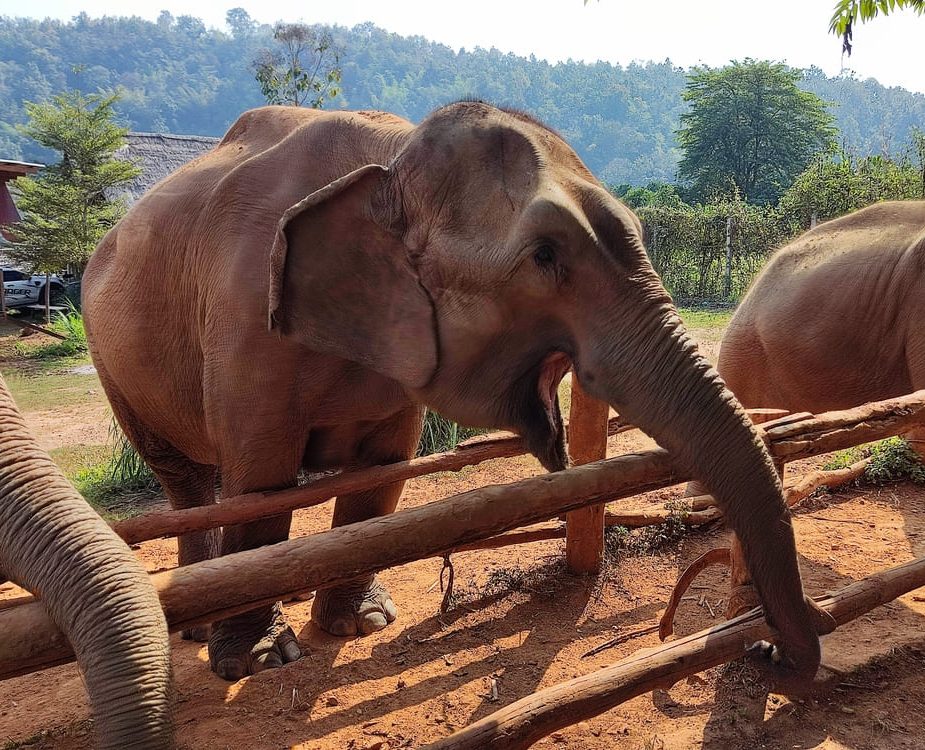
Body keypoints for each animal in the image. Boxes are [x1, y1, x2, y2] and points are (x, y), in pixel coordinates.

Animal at [82, 101, 830, 685]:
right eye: (545, 256)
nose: (770, 650)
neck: (390, 158)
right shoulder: (244, 321)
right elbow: (260, 487)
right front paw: (261, 662)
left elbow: (383, 473)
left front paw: (363, 624)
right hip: (109, 354)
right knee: (188, 481)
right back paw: (197, 631)